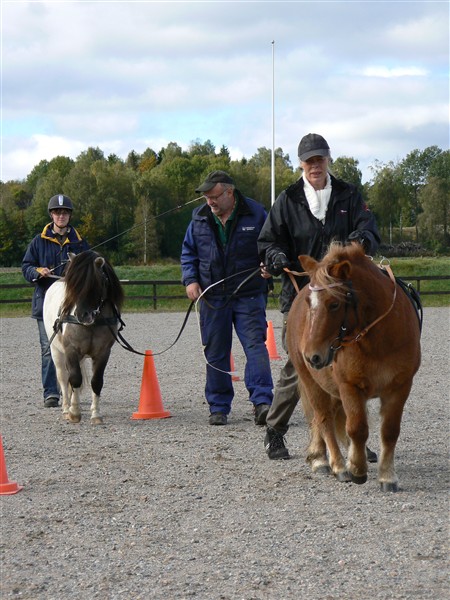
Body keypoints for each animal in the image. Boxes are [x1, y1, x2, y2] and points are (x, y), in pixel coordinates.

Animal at [43, 251, 124, 424]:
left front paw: (96, 414)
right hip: (56, 351)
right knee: (63, 377)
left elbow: (96, 382)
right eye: (72, 285)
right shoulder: (71, 350)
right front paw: (74, 413)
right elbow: (74, 379)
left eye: (95, 283)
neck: (92, 324)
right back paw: (66, 409)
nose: (82, 316)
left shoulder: (103, 353)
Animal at [288, 241, 422, 490]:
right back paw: (332, 463)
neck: (378, 340)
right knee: (323, 419)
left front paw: (387, 476)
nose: (312, 356)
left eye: (334, 304)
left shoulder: (400, 387)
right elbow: (356, 428)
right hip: (311, 382)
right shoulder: (349, 386)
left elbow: (389, 431)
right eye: (310, 303)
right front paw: (357, 469)